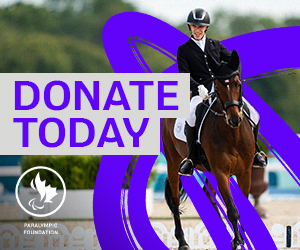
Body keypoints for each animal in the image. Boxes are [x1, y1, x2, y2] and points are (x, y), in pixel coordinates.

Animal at [161, 49, 254, 249]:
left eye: (238, 84)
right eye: (217, 88)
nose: (234, 119)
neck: (232, 135)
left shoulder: (245, 173)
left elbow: (241, 207)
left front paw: (242, 238)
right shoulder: (221, 172)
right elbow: (232, 210)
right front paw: (238, 241)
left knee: (209, 196)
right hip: (173, 162)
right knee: (175, 200)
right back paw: (182, 242)